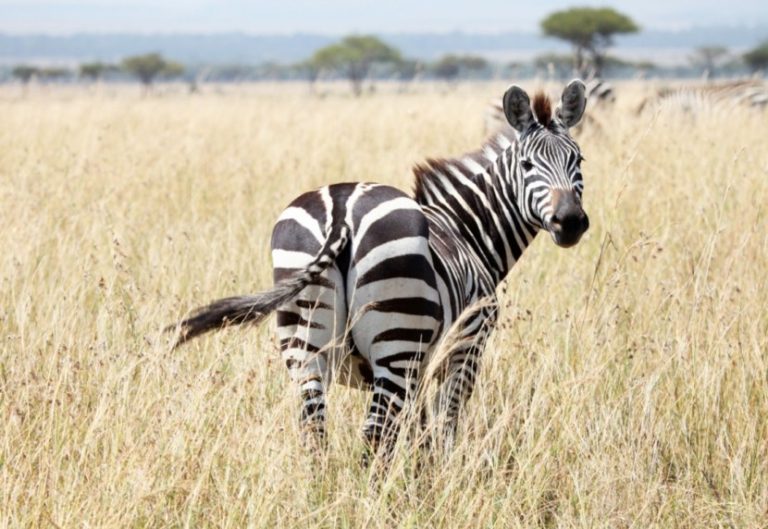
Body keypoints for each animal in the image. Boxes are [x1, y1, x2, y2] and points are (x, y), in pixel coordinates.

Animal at [166, 78, 588, 458]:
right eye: (527, 165)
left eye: (578, 160)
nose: (570, 222)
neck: (466, 230)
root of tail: (340, 212)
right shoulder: (466, 347)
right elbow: (444, 426)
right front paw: (439, 477)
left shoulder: (417, 368)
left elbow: (420, 433)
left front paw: (420, 480)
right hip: (396, 339)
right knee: (374, 439)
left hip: (306, 343)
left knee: (315, 435)